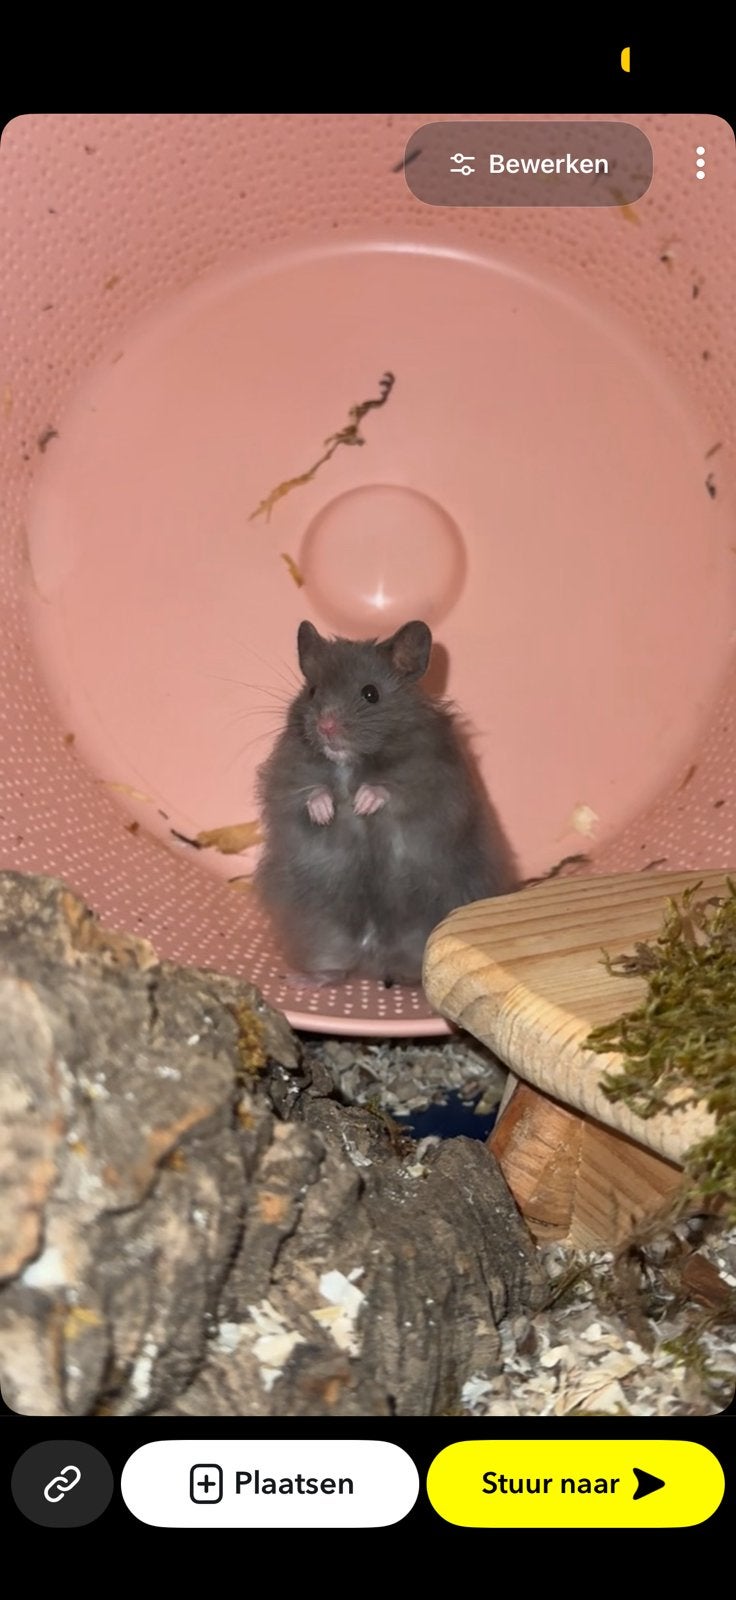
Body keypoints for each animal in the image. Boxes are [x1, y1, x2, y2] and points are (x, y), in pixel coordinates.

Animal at [255, 619, 514, 985]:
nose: (325, 726)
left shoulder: (431, 783)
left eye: (370, 693)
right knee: (334, 968)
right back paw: (299, 981)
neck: (351, 761)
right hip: (319, 930)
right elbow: (309, 792)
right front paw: (327, 812)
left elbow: (392, 790)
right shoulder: (287, 781)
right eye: (313, 691)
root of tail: (373, 959)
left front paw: (362, 802)